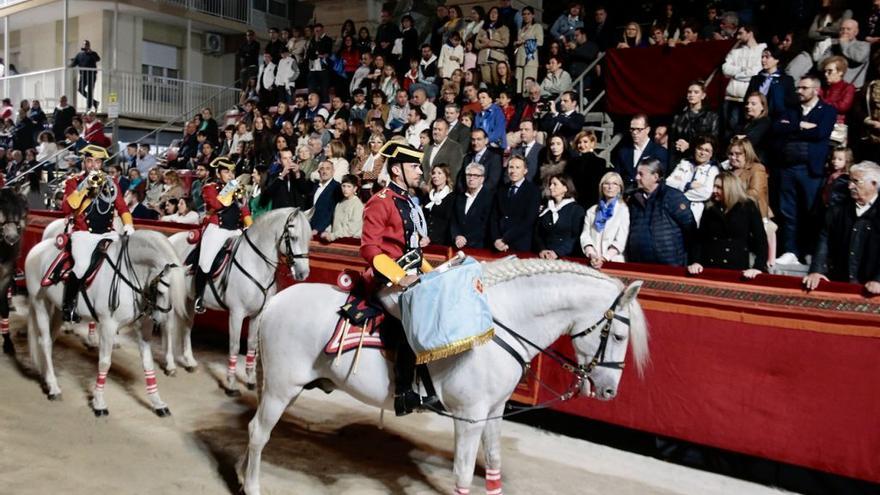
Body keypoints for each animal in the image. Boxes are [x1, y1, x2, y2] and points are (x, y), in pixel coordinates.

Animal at [24, 231, 189, 416]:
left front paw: (157, 402)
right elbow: (104, 362)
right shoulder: (108, 325)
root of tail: (37, 249)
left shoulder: (144, 327)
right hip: (40, 303)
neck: (129, 272)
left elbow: (147, 362)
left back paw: (47, 378)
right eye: (161, 291)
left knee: (51, 340)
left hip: (59, 309)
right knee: (45, 342)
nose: (160, 320)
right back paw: (54, 388)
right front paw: (99, 403)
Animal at [169, 207, 312, 398]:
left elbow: (251, 345)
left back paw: (190, 362)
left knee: (186, 326)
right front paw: (231, 385)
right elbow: (235, 346)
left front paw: (250, 380)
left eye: (309, 238)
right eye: (294, 237)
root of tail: (172, 238)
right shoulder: (236, 314)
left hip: (190, 300)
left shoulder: (257, 314)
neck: (256, 264)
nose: (303, 273)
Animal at [237, 258, 648, 494]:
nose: (609, 391)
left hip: (283, 387)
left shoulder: (493, 413)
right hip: (281, 388)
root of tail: (278, 300)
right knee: (258, 433)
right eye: (619, 336)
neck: (498, 326)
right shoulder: (469, 416)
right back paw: (252, 485)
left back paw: (242, 475)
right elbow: (463, 476)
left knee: (256, 429)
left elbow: (493, 463)